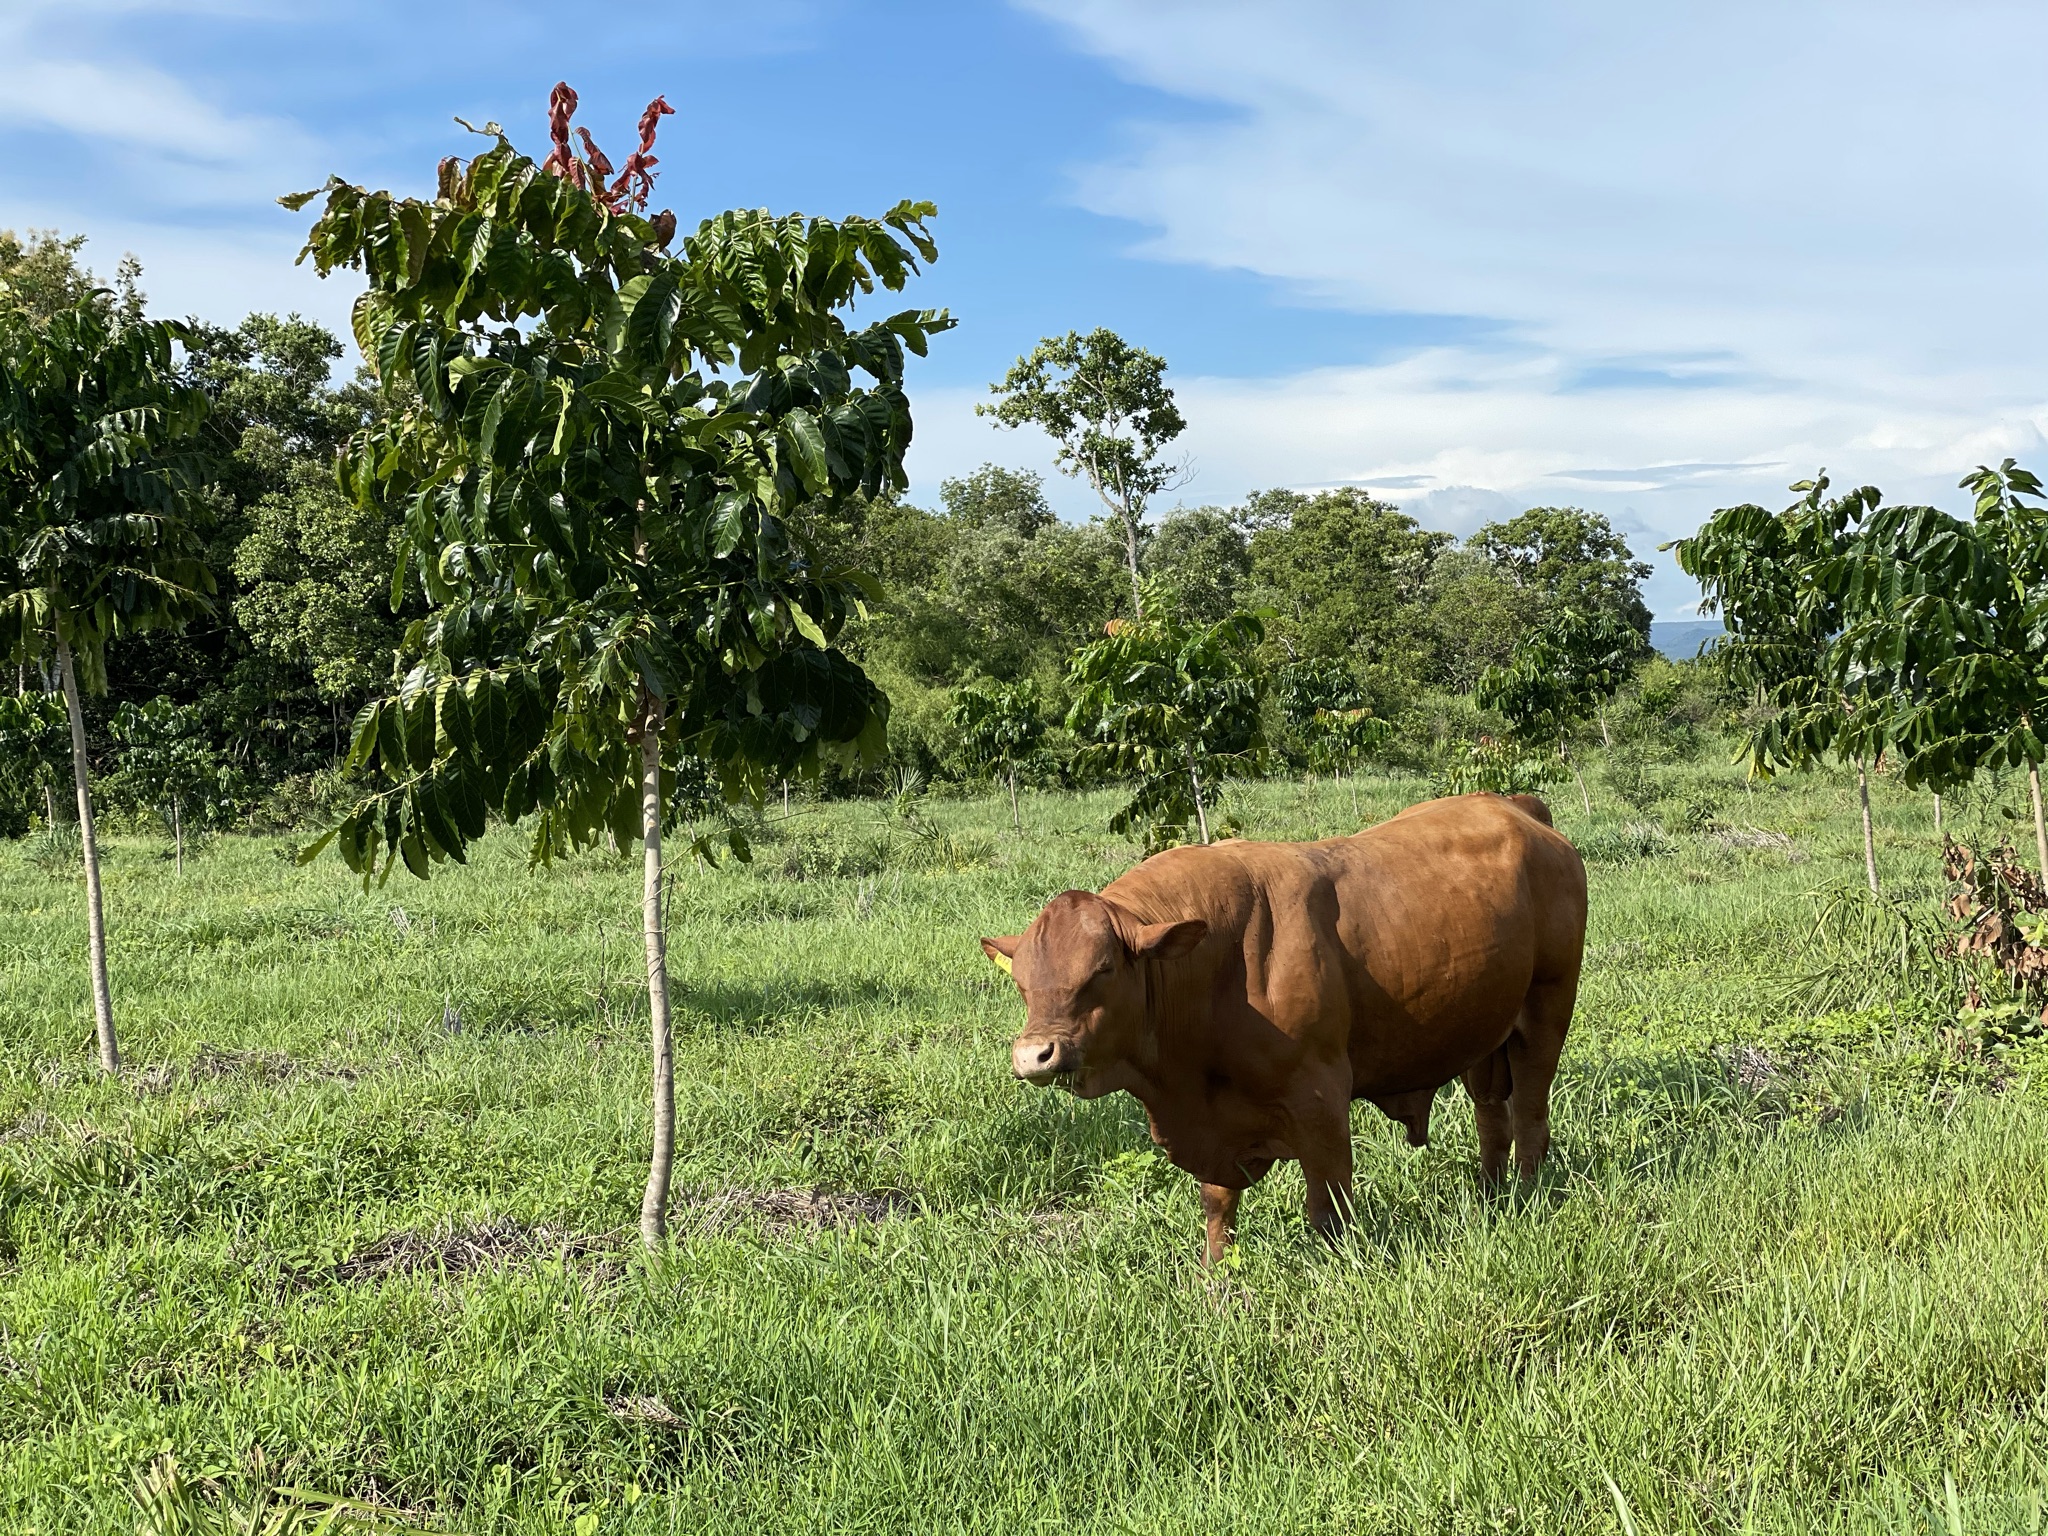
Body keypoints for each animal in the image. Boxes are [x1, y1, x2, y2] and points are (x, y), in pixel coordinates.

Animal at [983, 794, 1589, 1261]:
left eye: (1103, 969)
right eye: (1023, 981)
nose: (1035, 1055)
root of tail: (1517, 809)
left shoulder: (1321, 1099)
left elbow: (1328, 1208)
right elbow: (1217, 1206)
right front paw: (1216, 1281)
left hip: (1546, 1010)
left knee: (1530, 1111)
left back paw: (1526, 1195)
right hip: (1483, 1034)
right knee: (1492, 1116)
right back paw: (1490, 1195)